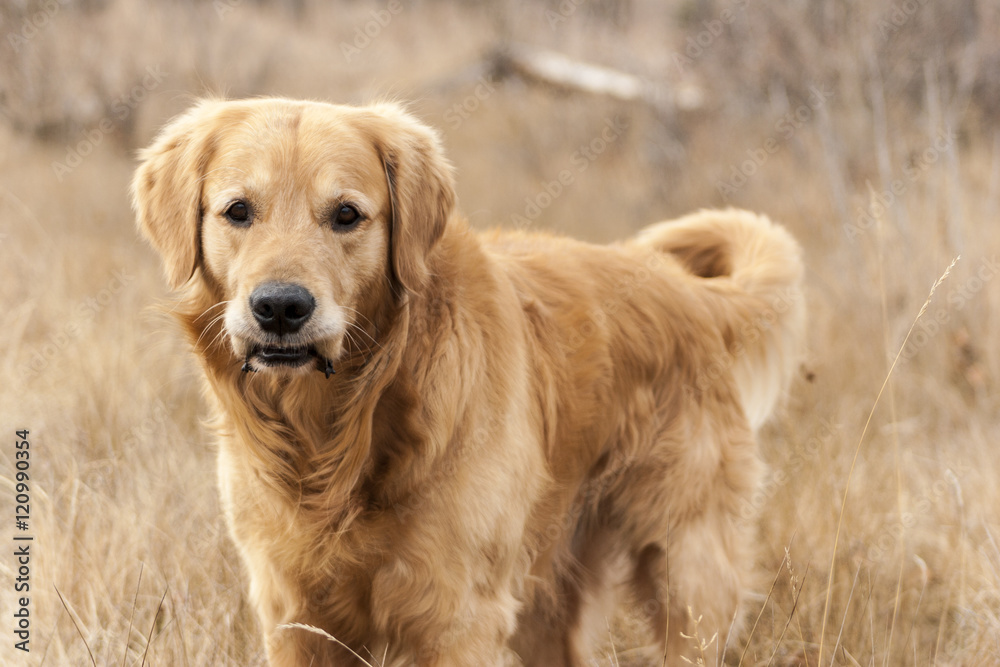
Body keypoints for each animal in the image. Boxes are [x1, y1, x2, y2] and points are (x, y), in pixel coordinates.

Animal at [131, 96, 804, 664]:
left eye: (347, 215)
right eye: (238, 211)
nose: (280, 308)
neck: (342, 428)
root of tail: (687, 289)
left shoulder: (458, 615)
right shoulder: (293, 615)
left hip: (686, 576)